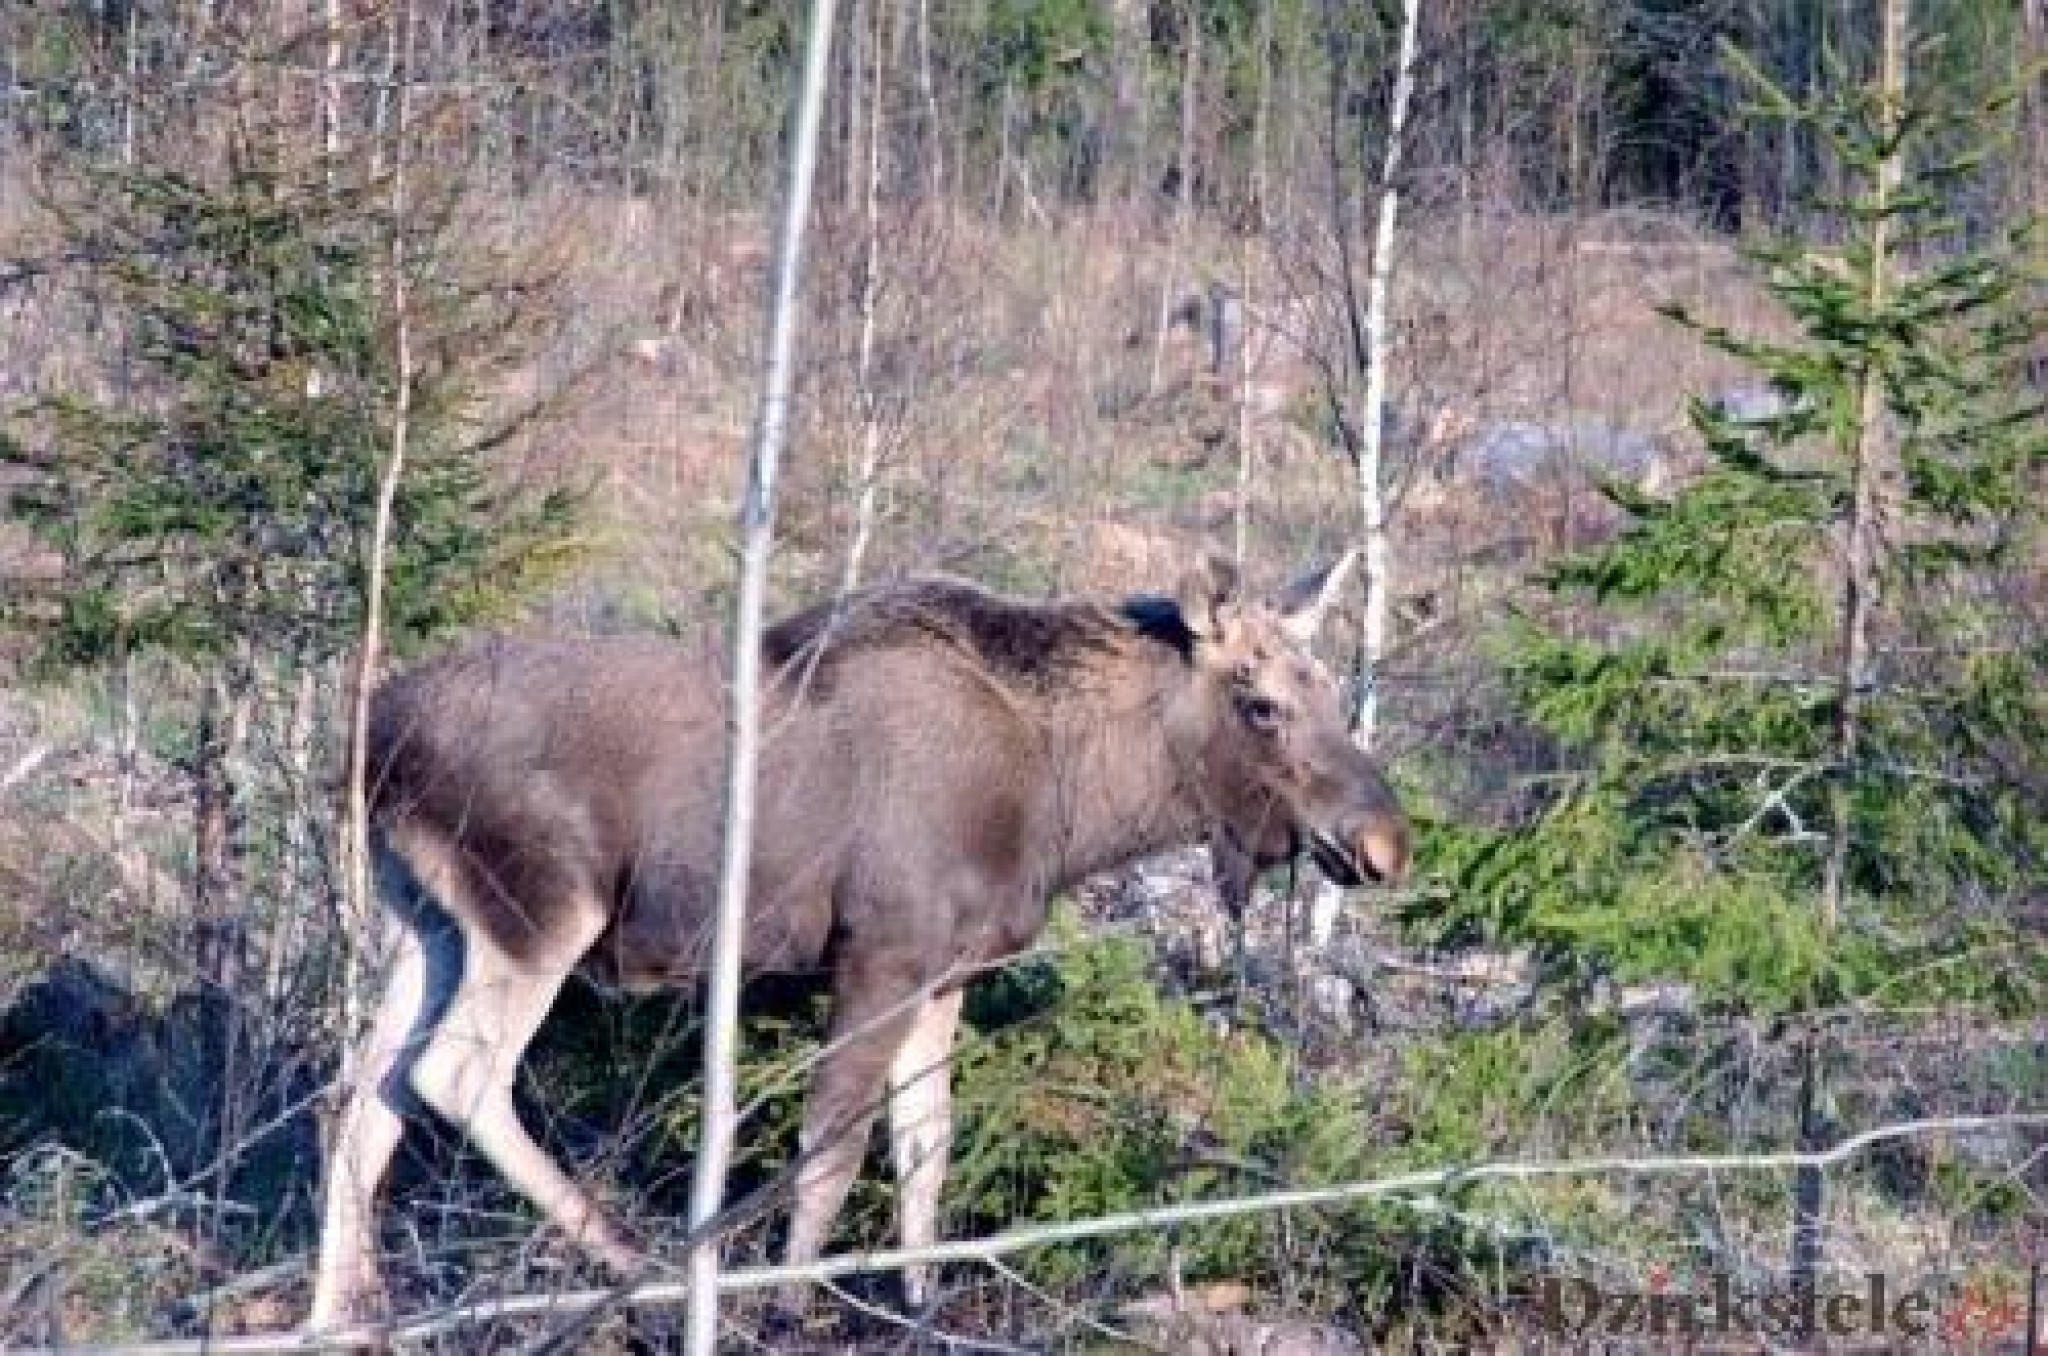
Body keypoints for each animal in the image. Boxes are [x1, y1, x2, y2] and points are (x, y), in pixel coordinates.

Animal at [311, 557, 1417, 1335]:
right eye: (1261, 703)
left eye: (1330, 691)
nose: (1383, 843)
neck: (1072, 795)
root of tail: (367, 739)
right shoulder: (880, 951)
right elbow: (834, 1145)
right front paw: (793, 1305)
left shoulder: (945, 970)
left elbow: (925, 1141)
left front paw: (915, 1307)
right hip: (539, 911)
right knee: (453, 1079)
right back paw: (638, 1266)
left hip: (426, 918)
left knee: (365, 1093)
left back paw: (339, 1315)